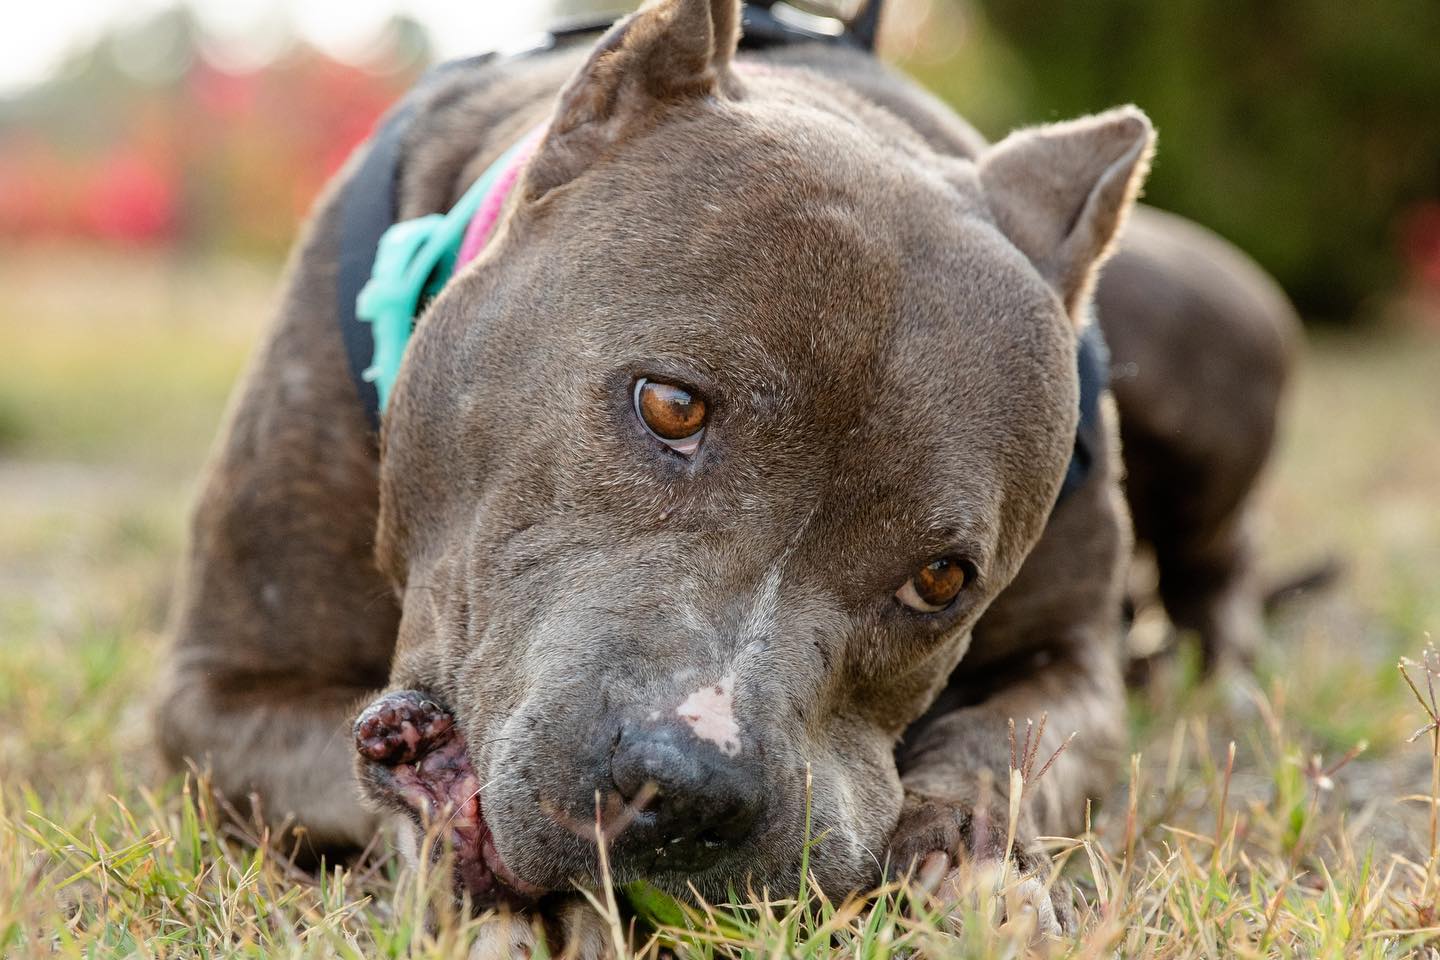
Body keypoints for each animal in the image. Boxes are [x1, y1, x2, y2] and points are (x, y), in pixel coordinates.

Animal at [154, 0, 1169, 938]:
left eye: (941, 580)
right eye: (670, 405)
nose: (690, 790)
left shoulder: (1075, 664)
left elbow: (1005, 742)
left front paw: (971, 859)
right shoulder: (218, 696)